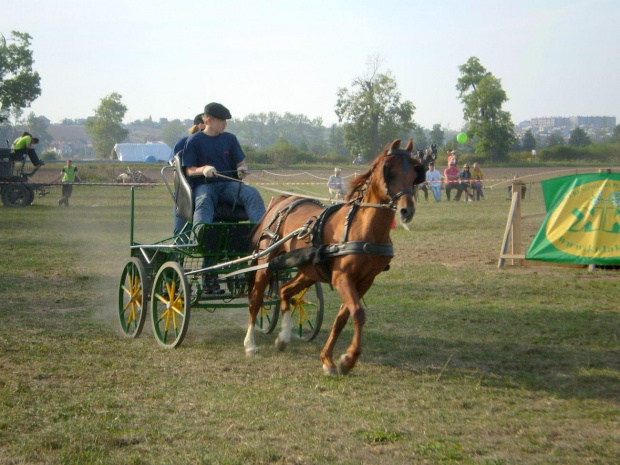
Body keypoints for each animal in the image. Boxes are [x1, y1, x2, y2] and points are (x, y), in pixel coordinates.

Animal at [245, 138, 424, 374]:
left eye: (414, 174)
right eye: (391, 173)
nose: (406, 211)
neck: (362, 229)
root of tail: (284, 201)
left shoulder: (365, 281)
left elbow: (342, 317)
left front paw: (328, 359)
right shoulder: (342, 277)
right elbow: (357, 313)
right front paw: (349, 358)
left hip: (308, 271)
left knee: (285, 291)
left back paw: (283, 337)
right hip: (265, 262)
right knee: (256, 299)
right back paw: (250, 344)